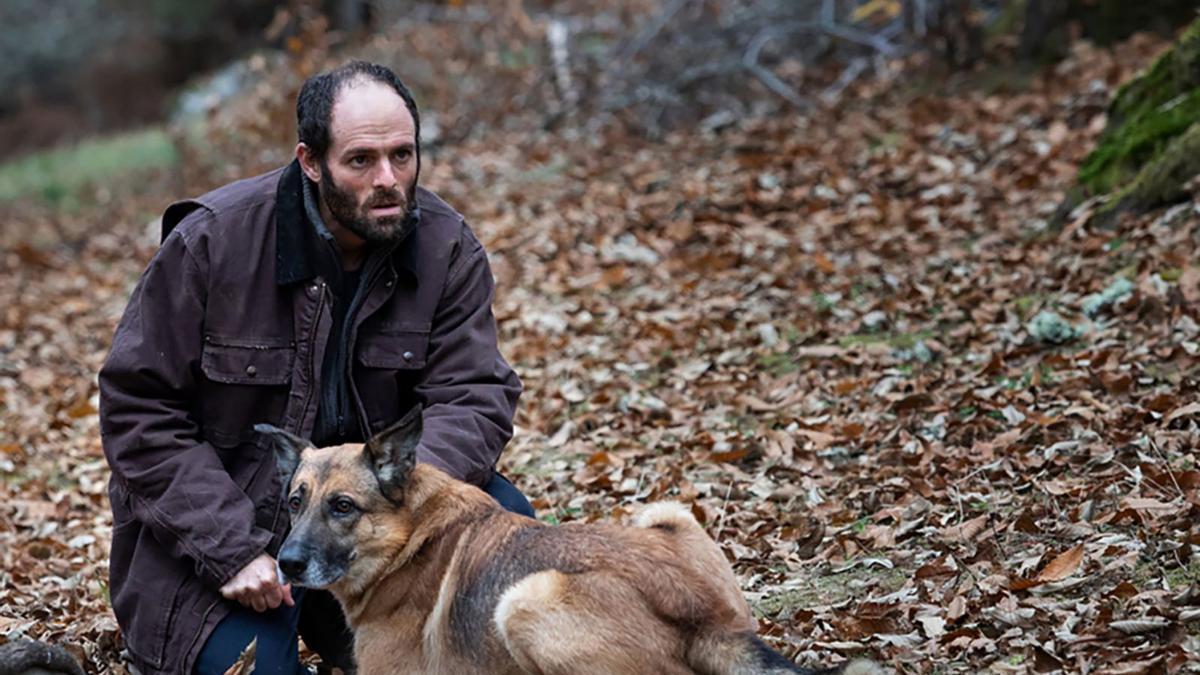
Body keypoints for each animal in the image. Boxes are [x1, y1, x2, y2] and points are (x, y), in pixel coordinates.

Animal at [260, 408, 883, 667]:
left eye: (342, 506)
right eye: (295, 502)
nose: (285, 564)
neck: (407, 539)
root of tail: (704, 615)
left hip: (525, 599)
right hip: (665, 512)